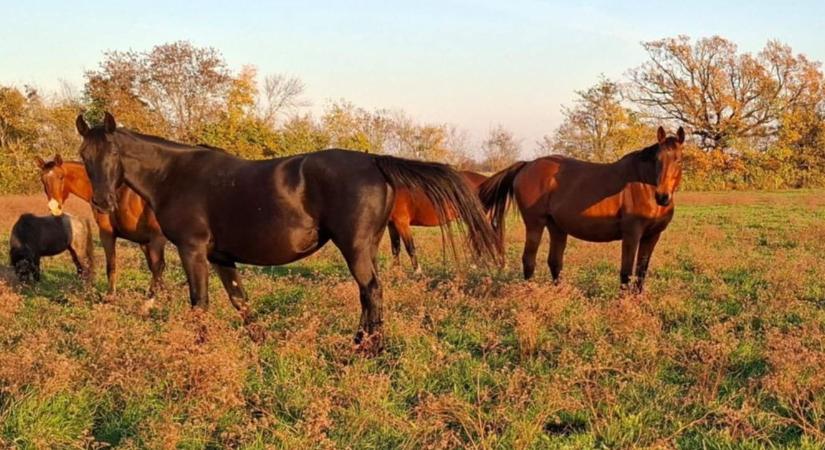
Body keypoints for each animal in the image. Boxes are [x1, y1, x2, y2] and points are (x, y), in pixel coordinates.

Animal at [36, 155, 167, 298]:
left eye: (61, 177)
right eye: (42, 180)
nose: (54, 207)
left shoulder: (107, 233)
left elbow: (111, 265)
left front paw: (110, 295)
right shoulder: (143, 240)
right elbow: (153, 267)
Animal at [77, 112, 498, 352]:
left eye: (113, 154)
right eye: (84, 156)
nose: (102, 203)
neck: (175, 176)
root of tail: (375, 162)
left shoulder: (192, 250)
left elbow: (200, 303)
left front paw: (199, 349)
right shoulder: (220, 257)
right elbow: (240, 302)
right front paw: (261, 344)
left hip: (355, 247)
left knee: (372, 292)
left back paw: (370, 349)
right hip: (369, 247)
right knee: (367, 294)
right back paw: (359, 343)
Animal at [476, 125, 684, 292]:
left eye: (679, 159)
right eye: (657, 160)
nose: (662, 197)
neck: (641, 183)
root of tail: (526, 165)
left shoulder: (652, 236)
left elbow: (641, 272)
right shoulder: (631, 235)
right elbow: (626, 272)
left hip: (556, 226)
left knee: (555, 262)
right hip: (535, 224)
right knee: (529, 260)